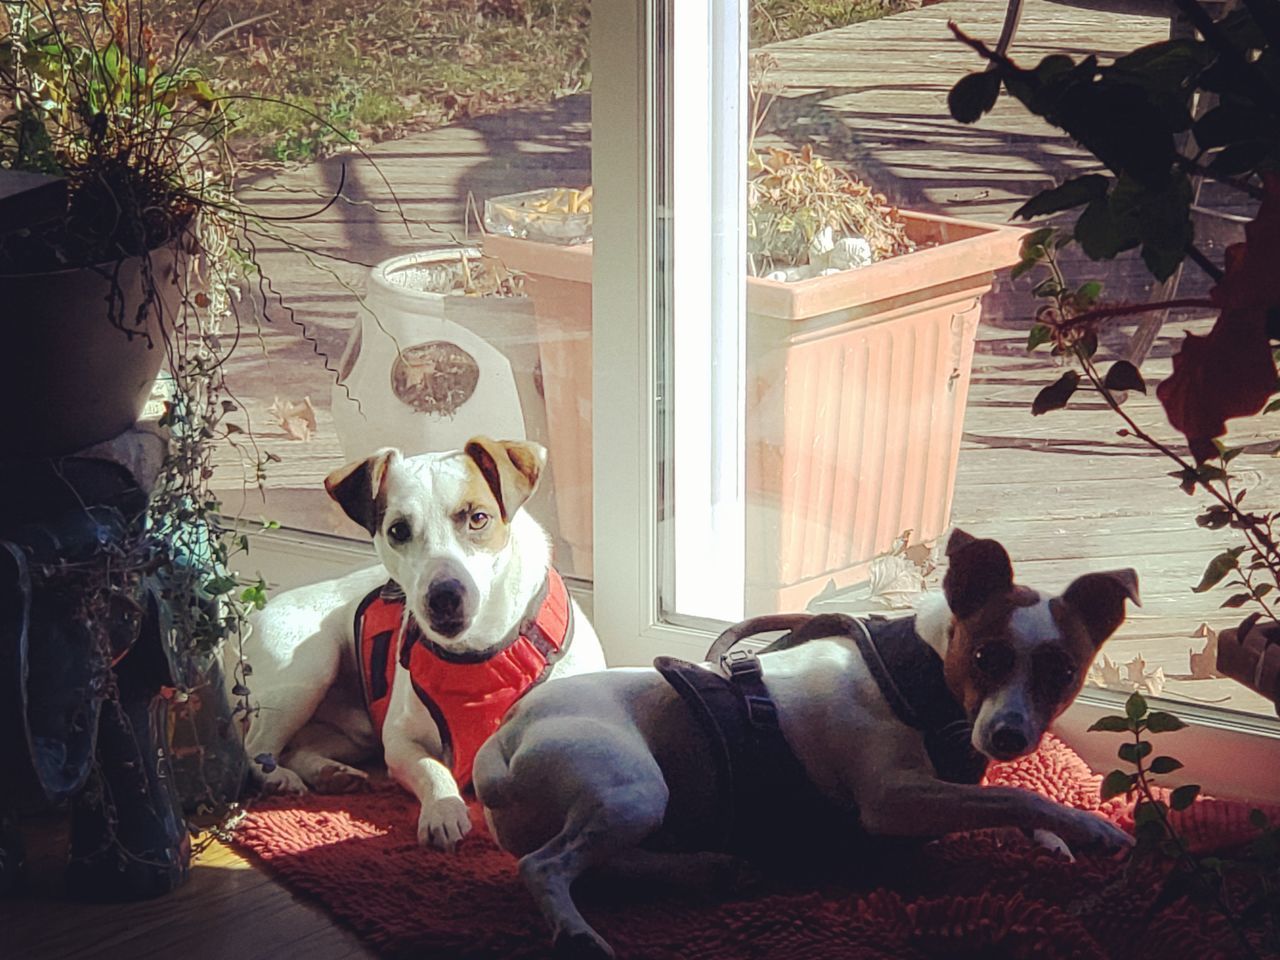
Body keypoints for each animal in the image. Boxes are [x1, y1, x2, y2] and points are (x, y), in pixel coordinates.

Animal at [229, 435, 604, 849]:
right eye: (398, 531)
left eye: (478, 518)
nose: (444, 595)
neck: (479, 652)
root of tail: (251, 617)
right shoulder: (400, 742)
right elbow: (434, 769)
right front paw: (445, 811)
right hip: (310, 669)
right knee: (255, 748)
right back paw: (279, 778)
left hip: (355, 732)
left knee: (299, 746)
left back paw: (331, 773)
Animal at [476, 529, 1146, 957]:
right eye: (986, 656)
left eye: (1064, 673)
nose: (1008, 735)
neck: (917, 673)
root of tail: (502, 744)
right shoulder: (893, 800)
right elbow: (1015, 795)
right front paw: (1090, 828)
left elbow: (1003, 795)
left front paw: (1052, 837)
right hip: (633, 789)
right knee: (546, 866)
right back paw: (578, 932)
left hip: (635, 808)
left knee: (608, 862)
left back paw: (711, 868)